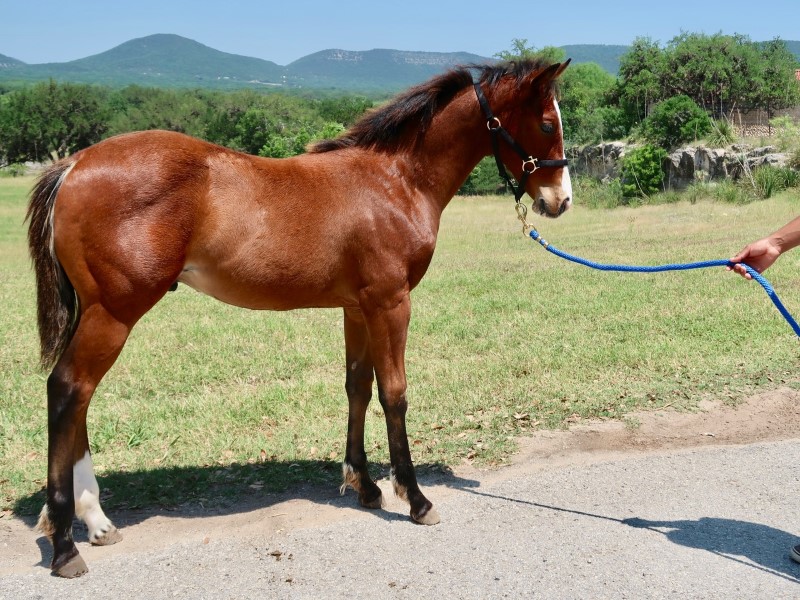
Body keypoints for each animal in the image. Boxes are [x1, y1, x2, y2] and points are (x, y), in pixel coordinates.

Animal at [26, 57, 576, 576]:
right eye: (547, 122)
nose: (561, 201)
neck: (395, 181)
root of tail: (74, 164)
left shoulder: (357, 307)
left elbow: (358, 387)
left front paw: (365, 486)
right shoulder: (391, 303)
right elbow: (394, 393)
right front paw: (416, 499)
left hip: (97, 314)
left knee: (78, 399)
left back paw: (96, 523)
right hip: (114, 313)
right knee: (68, 390)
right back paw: (65, 544)